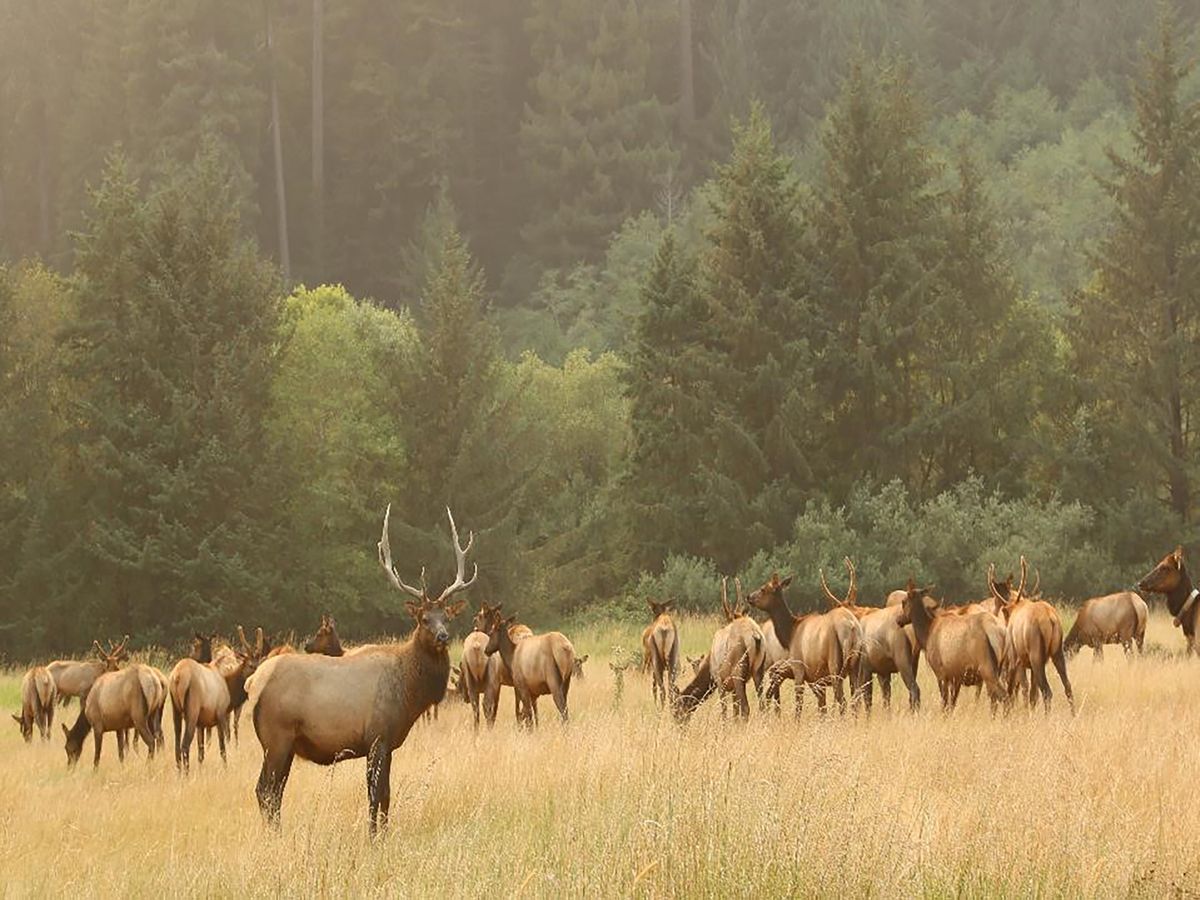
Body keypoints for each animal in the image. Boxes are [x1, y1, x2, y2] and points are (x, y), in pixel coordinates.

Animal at [247, 505, 474, 835]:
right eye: (423, 619)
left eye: (446, 617)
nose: (443, 636)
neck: (409, 694)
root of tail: (253, 684)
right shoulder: (377, 737)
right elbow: (374, 793)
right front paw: (372, 836)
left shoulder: (390, 744)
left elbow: (387, 795)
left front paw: (384, 834)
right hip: (277, 737)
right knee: (265, 789)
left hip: (283, 745)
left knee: (272, 790)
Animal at [746, 568, 863, 717]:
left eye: (763, 589)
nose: (748, 596)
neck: (789, 634)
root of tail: (851, 627)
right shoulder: (816, 680)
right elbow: (822, 708)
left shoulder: (799, 669)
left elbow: (799, 705)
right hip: (856, 665)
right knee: (856, 700)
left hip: (835, 665)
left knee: (843, 702)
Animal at [895, 580, 1006, 711]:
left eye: (903, 602)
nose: (898, 620)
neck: (926, 634)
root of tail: (998, 631)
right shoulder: (955, 676)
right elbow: (952, 703)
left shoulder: (940, 672)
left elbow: (944, 702)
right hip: (998, 668)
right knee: (997, 697)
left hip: (986, 667)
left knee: (1003, 695)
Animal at [990, 558, 1073, 713]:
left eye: (1004, 613)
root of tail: (1051, 619)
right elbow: (1032, 695)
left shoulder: (1015, 658)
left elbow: (1014, 688)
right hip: (1057, 652)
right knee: (1067, 686)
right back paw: (1073, 715)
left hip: (1036, 655)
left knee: (1047, 691)